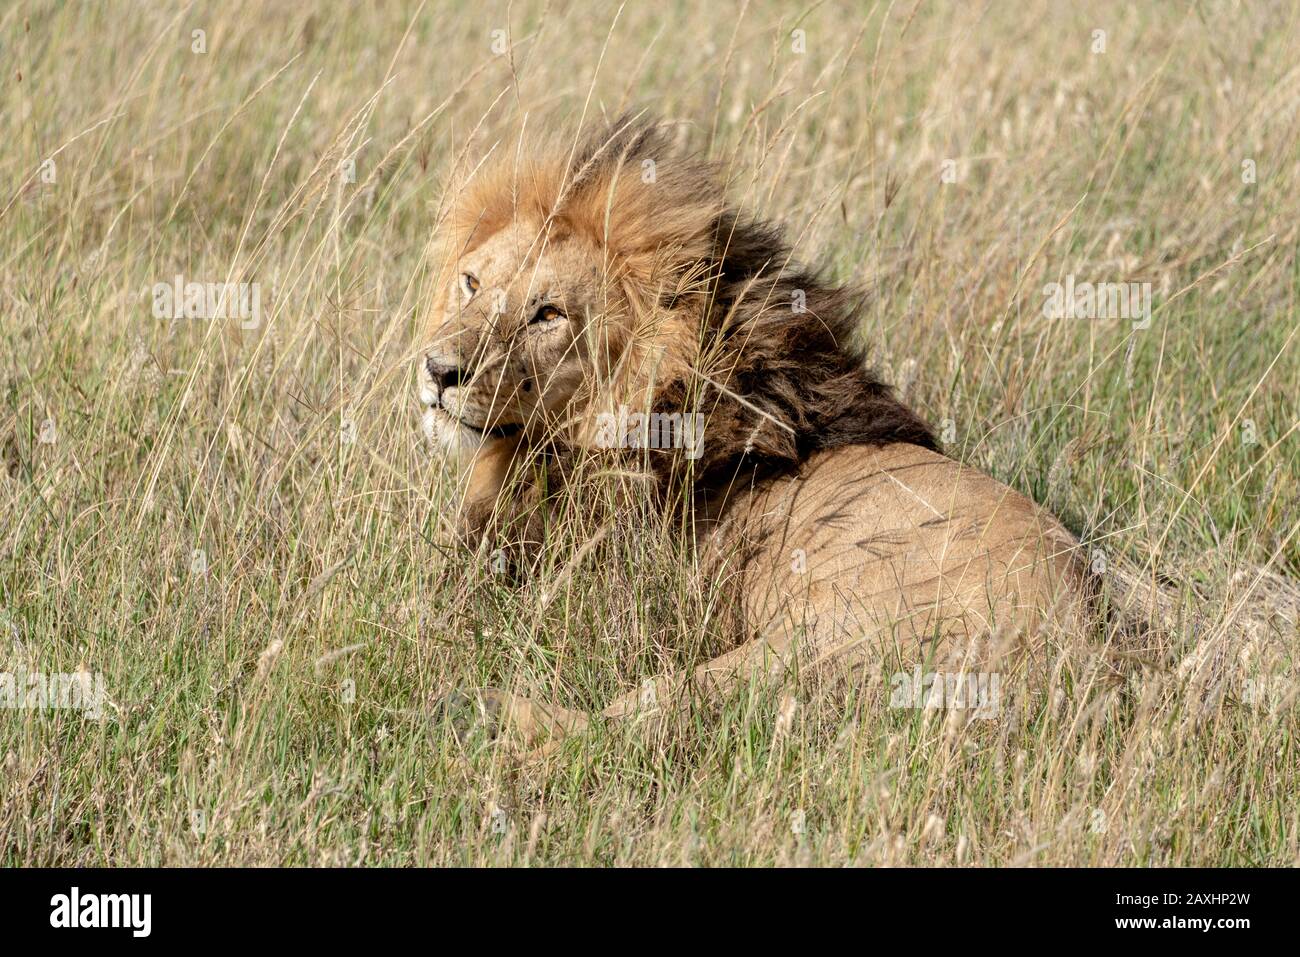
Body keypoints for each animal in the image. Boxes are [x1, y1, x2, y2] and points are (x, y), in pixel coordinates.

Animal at [421, 113, 1092, 754]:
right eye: (471, 282)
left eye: (549, 314)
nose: (437, 371)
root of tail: (1089, 648)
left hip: (809, 644)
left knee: (640, 716)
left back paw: (472, 712)